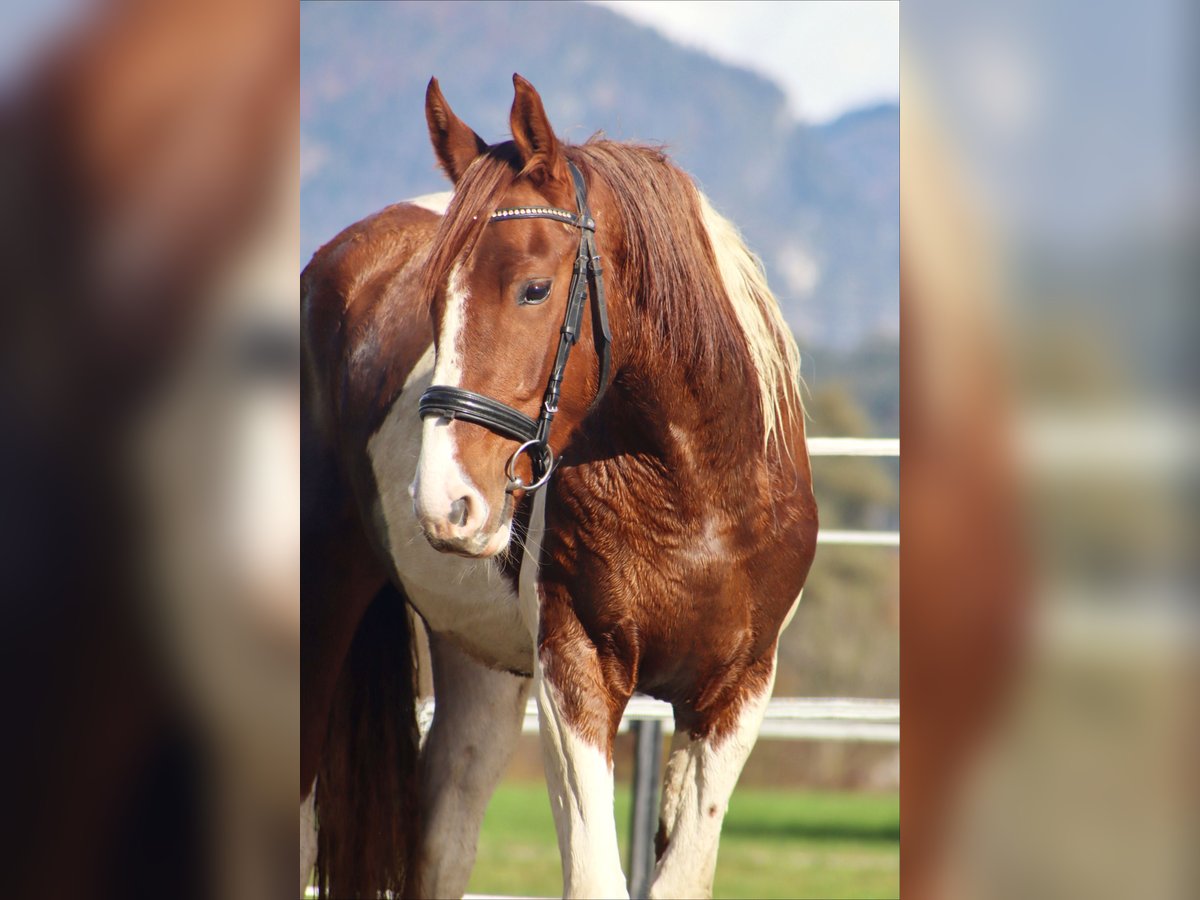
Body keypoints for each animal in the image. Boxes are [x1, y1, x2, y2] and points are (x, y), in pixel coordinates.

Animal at [300, 73, 818, 899]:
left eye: (535, 290)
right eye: (433, 299)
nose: (445, 503)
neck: (692, 495)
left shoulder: (734, 696)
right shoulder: (576, 675)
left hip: (478, 664)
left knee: (444, 837)